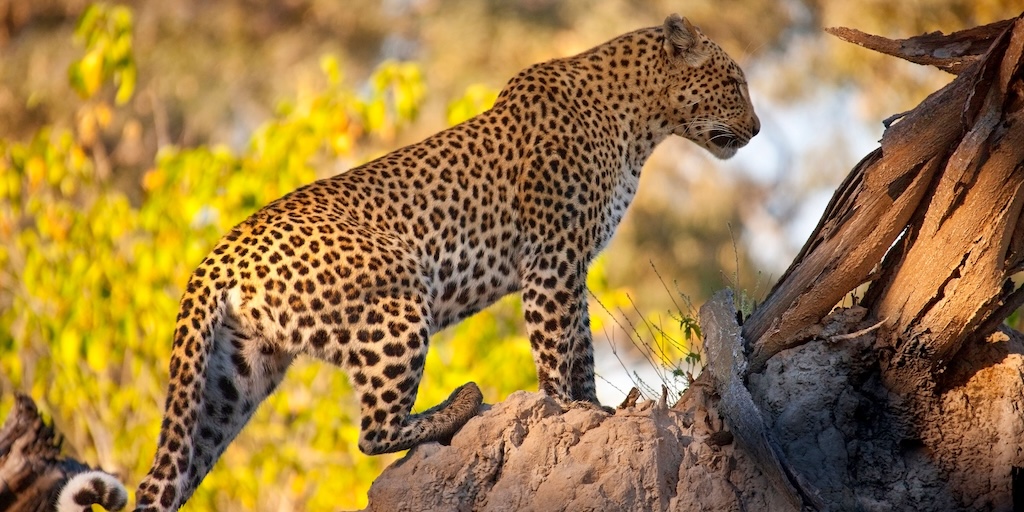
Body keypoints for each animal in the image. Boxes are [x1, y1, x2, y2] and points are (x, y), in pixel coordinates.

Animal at [57, 13, 758, 511]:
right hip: (398, 298)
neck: (639, 122)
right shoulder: (552, 260)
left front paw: (597, 411)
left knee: (174, 475)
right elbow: (561, 351)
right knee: (372, 431)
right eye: (733, 84)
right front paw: (577, 413)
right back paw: (461, 403)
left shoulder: (569, 265)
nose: (754, 130)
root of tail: (217, 255)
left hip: (235, 375)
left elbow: (581, 346)